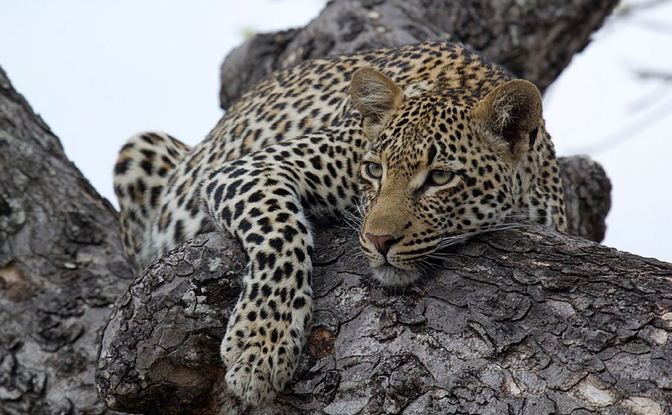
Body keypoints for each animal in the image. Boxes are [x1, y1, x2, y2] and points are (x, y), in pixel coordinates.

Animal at [113, 41, 566, 407]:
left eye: (440, 177)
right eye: (373, 170)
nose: (379, 240)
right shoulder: (247, 169)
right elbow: (283, 234)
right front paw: (260, 348)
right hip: (140, 149)